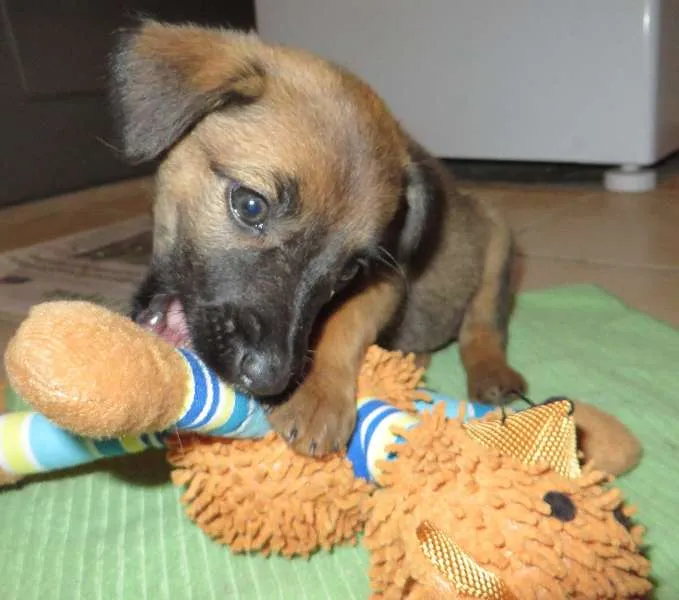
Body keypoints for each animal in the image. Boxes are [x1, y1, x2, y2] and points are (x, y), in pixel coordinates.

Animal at [111, 21, 524, 458]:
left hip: (499, 247)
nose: (268, 378)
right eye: (251, 206)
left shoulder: (386, 281)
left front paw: (315, 396)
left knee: (482, 327)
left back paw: (492, 373)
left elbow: (344, 324)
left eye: (348, 271)